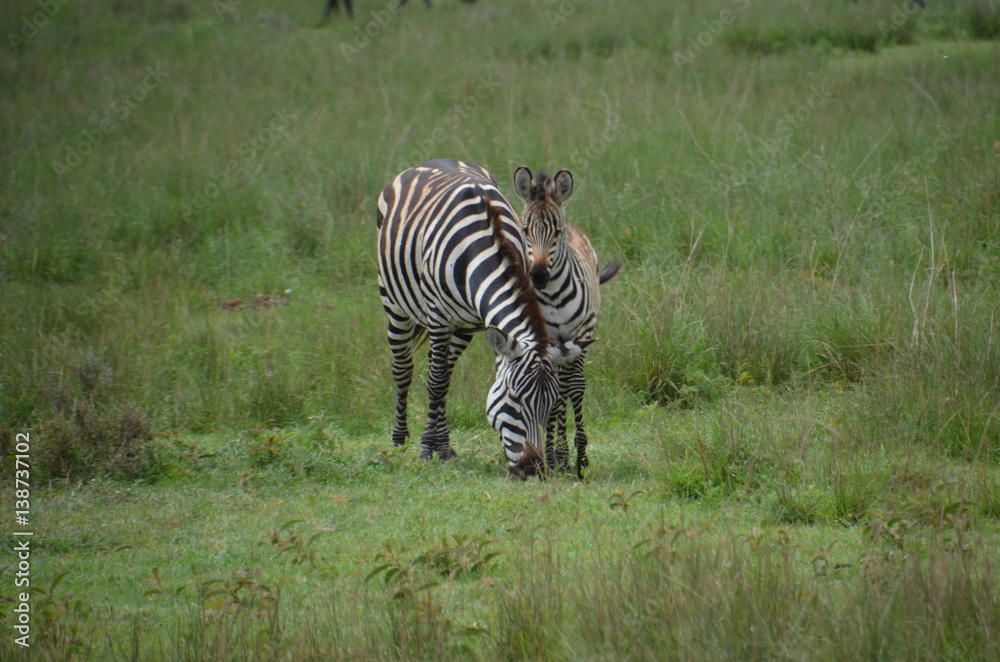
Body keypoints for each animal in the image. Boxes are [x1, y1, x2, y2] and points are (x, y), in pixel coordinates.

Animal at [376, 159, 571, 478]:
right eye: (514, 400)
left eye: (552, 404)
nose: (532, 470)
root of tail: (431, 161)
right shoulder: (438, 317)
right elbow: (435, 383)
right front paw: (426, 450)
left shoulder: (482, 321)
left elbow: (444, 381)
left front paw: (441, 448)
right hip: (395, 304)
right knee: (405, 370)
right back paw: (399, 439)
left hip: (459, 328)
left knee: (443, 372)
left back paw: (444, 444)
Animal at [512, 166, 620, 478]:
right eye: (524, 230)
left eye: (556, 233)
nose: (537, 276)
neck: (553, 295)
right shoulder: (545, 338)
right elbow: (549, 393)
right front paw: (551, 454)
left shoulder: (581, 335)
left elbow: (575, 389)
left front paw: (581, 456)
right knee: (559, 393)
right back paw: (558, 455)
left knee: (565, 389)